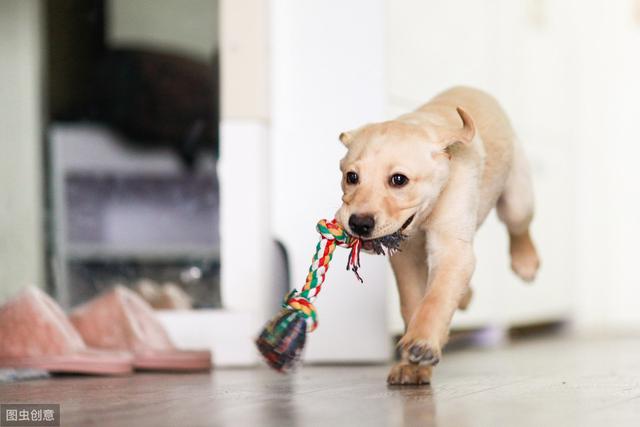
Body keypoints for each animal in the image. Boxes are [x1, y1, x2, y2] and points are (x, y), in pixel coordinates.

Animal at [336, 86, 540, 384]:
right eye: (351, 177)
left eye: (399, 180)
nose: (359, 223)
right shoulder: (406, 257)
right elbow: (413, 302)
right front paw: (412, 365)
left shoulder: (452, 249)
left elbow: (437, 297)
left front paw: (422, 342)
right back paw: (465, 296)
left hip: (517, 196)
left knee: (518, 226)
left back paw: (526, 262)